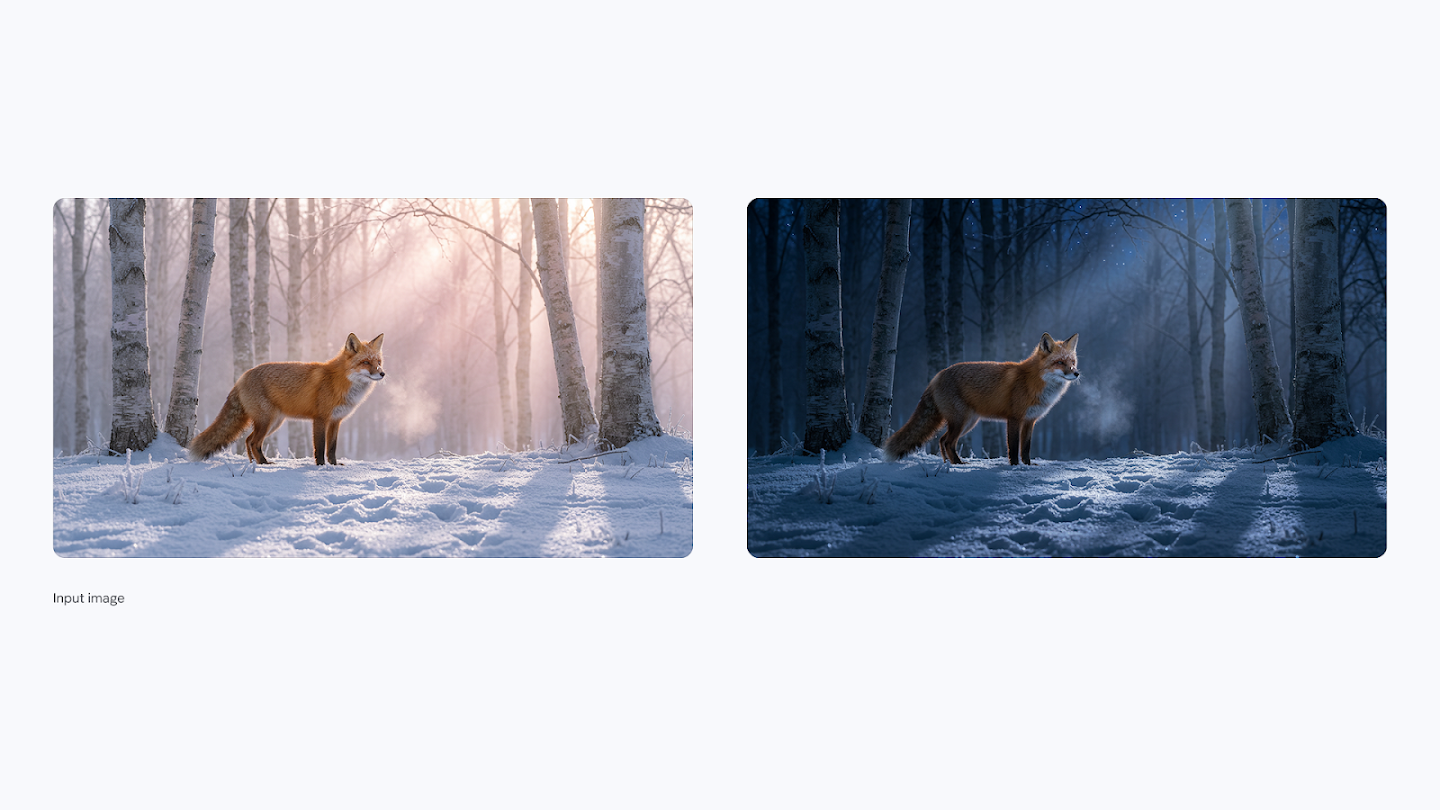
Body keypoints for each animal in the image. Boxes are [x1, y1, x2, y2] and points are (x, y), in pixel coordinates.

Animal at [188, 333, 386, 466]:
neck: (340, 381)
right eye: (365, 362)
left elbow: (332, 447)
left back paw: (254, 464)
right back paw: (264, 464)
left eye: (378, 362)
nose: (382, 374)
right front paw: (321, 467)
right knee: (253, 442)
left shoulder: (336, 420)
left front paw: (334, 466)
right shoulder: (320, 418)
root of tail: (242, 377)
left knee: (248, 440)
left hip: (273, 423)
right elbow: (320, 447)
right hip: (267, 421)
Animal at [883, 332, 1080, 466]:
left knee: (942, 440)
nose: (1076, 373)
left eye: (1072, 362)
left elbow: (1026, 448)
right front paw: (1015, 467)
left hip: (968, 422)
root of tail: (937, 376)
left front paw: (1028, 466)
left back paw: (949, 464)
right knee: (947, 442)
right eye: (1060, 362)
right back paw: (958, 464)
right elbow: (1013, 446)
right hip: (961, 421)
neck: (1034, 382)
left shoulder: (1030, 420)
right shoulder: (1014, 418)